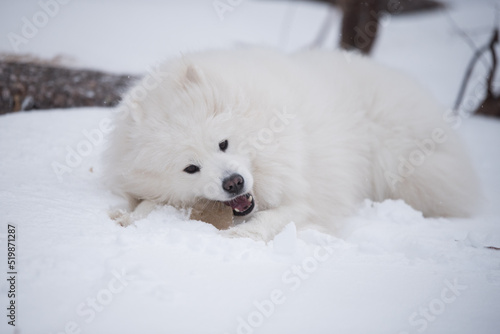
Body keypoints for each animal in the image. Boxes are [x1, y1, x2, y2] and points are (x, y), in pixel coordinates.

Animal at [106, 48, 480, 240]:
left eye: (223, 143)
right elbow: (149, 204)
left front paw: (238, 238)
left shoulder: (308, 199)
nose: (233, 183)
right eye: (190, 168)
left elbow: (270, 221)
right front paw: (128, 218)